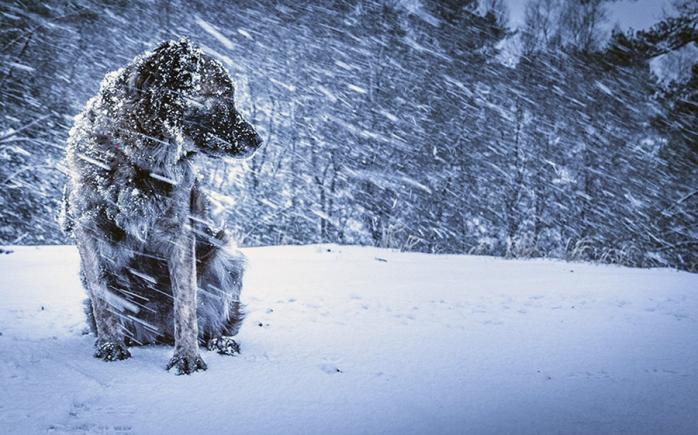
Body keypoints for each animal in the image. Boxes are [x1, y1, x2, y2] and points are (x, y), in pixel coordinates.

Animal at [58, 38, 260, 374]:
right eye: (223, 95)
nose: (258, 141)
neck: (134, 156)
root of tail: (157, 332)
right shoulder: (88, 228)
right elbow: (102, 297)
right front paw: (110, 346)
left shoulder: (179, 233)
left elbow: (186, 305)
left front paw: (187, 357)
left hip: (226, 257)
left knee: (212, 322)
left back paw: (221, 341)